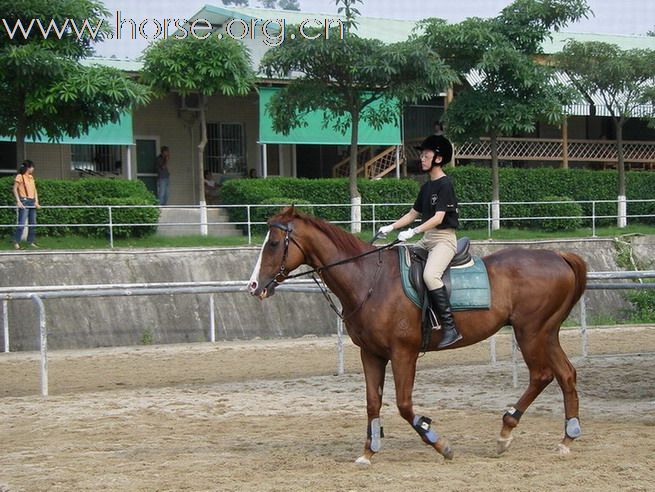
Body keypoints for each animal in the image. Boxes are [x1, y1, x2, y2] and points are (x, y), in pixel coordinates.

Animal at [249, 208, 588, 466]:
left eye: (274, 243)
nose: (254, 286)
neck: (368, 279)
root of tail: (558, 255)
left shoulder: (403, 353)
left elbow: (403, 405)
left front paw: (437, 440)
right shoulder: (371, 353)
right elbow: (373, 402)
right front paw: (368, 452)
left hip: (530, 332)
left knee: (542, 375)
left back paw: (506, 433)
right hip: (546, 333)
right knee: (566, 374)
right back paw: (566, 439)